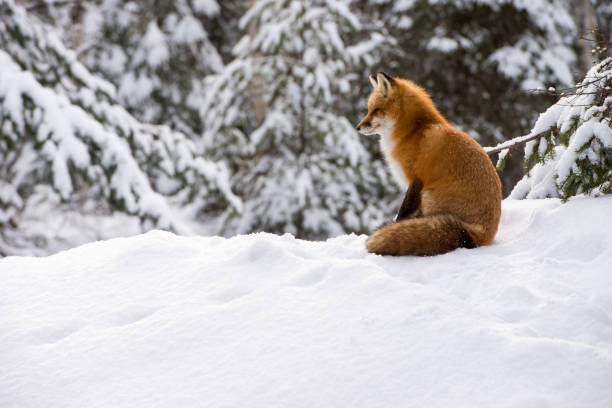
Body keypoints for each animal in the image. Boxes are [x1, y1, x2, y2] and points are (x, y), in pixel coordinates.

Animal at [356, 71, 500, 255]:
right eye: (368, 110)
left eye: (376, 110)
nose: (357, 127)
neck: (412, 131)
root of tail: (478, 234)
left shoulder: (415, 180)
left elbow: (403, 211)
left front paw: (395, 225)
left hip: (428, 195)